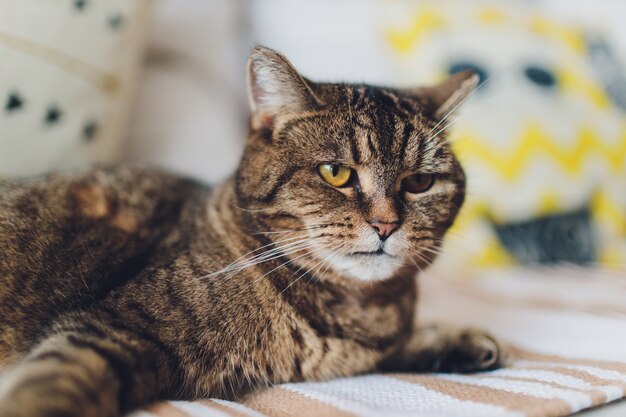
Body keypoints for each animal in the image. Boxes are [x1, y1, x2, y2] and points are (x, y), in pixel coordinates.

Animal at [0, 46, 504, 416]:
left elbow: (394, 346)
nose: (386, 223)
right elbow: (55, 384)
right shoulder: (111, 327)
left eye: (419, 183)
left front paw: (454, 341)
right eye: (336, 173)